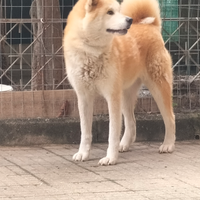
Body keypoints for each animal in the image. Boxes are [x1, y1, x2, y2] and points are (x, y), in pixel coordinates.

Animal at [63, 0, 176, 166]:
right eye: (110, 12)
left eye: (117, 10)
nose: (129, 20)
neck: (91, 52)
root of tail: (151, 25)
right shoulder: (84, 98)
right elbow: (85, 131)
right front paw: (83, 153)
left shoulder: (112, 97)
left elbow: (113, 132)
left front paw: (110, 157)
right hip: (125, 94)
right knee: (131, 121)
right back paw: (124, 144)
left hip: (158, 88)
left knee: (170, 118)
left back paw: (168, 144)